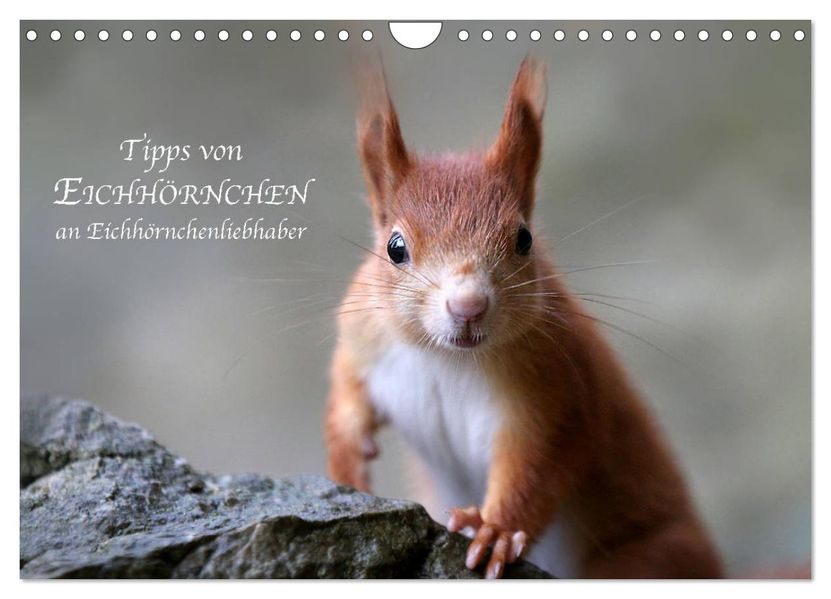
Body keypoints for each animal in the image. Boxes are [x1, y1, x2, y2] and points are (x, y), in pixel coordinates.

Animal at [325, 58, 723, 579]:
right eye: (395, 247)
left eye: (524, 239)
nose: (468, 306)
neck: (445, 358)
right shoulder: (364, 336)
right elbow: (346, 389)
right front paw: (346, 457)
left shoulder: (556, 389)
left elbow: (538, 467)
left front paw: (495, 530)